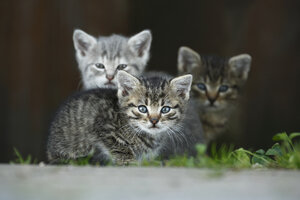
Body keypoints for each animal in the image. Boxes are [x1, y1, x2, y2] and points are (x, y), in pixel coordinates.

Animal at [46, 70, 193, 164]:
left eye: (165, 109)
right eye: (142, 108)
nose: (154, 121)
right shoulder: (102, 123)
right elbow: (119, 147)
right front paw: (128, 162)